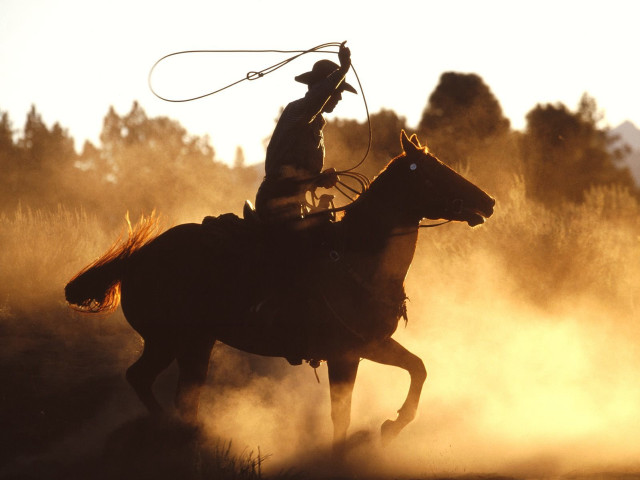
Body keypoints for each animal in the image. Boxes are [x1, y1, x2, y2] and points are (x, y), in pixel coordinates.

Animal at [65, 130, 495, 448]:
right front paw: (377, 433)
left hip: (196, 343)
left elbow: (417, 368)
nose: (488, 201)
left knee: (185, 393)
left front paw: (392, 424)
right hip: (168, 340)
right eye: (435, 171)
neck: (359, 261)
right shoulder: (347, 353)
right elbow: (344, 411)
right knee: (142, 379)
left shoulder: (370, 346)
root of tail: (137, 258)